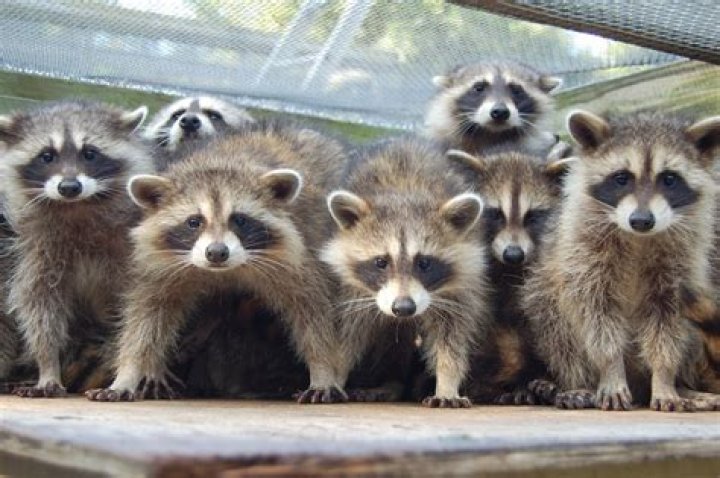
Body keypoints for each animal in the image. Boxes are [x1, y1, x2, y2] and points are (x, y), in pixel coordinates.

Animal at [0, 100, 152, 397]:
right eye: (47, 156)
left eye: (90, 154)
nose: (69, 187)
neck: (77, 207)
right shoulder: (35, 251)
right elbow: (39, 306)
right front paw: (48, 365)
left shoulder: (129, 249)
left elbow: (138, 310)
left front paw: (129, 370)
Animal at [85, 120, 348, 402]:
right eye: (194, 222)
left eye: (239, 219)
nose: (217, 252)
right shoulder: (160, 264)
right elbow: (146, 316)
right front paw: (128, 373)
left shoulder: (300, 256)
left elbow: (314, 313)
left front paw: (323, 370)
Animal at [321, 138, 489, 408]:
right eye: (381, 262)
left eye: (424, 263)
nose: (404, 308)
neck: (405, 191)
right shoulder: (350, 289)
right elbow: (346, 333)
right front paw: (333, 376)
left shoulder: (461, 285)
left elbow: (452, 333)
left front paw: (447, 381)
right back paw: (388, 382)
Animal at [522, 110, 720, 412]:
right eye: (621, 178)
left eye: (669, 179)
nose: (641, 220)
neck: (638, 238)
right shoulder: (583, 257)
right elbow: (596, 317)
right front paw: (611, 370)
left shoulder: (679, 267)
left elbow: (668, 326)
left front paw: (664, 377)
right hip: (544, 295)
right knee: (555, 323)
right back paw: (578, 384)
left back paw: (685, 388)